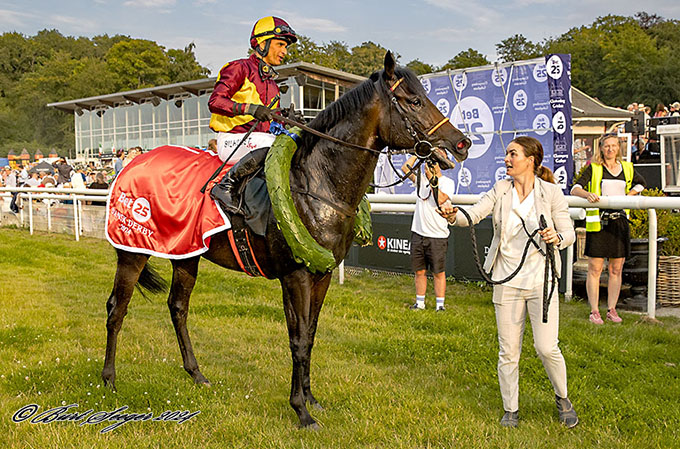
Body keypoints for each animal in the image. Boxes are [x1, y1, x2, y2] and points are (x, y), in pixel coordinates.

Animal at [102, 52, 468, 428]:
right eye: (414, 101)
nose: (462, 143)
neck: (318, 185)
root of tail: (133, 162)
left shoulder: (321, 275)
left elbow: (311, 334)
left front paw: (311, 399)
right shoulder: (296, 276)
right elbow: (299, 338)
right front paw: (301, 410)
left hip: (186, 253)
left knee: (178, 307)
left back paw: (196, 374)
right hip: (132, 250)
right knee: (117, 307)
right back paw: (110, 380)